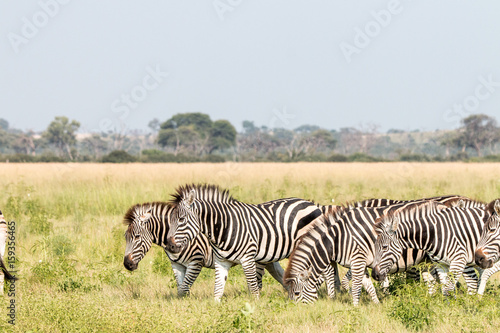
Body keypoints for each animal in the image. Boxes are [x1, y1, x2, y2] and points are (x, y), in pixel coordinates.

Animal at [123, 201, 288, 294]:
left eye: (137, 237)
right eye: (125, 237)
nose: (127, 264)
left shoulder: (196, 262)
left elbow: (184, 289)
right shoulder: (177, 264)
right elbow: (180, 289)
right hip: (269, 258)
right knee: (282, 276)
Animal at [165, 183, 324, 300]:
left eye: (181, 219)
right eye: (169, 220)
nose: (170, 247)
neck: (224, 226)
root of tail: (311, 204)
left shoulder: (248, 258)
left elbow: (253, 288)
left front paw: (255, 309)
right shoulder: (221, 261)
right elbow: (218, 290)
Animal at [282, 196, 480, 304]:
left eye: (297, 294)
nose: (298, 312)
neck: (339, 237)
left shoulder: (358, 259)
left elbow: (353, 285)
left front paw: (353, 305)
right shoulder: (359, 263)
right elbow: (367, 285)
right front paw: (376, 303)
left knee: (471, 278)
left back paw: (470, 301)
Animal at [372, 198, 500, 294]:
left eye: (385, 247)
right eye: (375, 247)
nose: (375, 274)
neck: (434, 234)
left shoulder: (459, 260)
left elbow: (449, 287)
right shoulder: (441, 264)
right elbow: (445, 288)